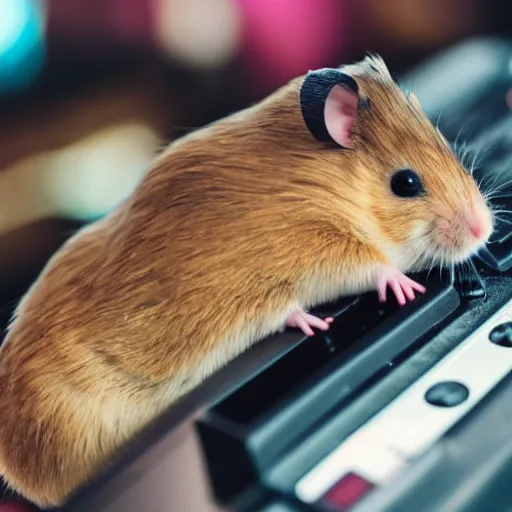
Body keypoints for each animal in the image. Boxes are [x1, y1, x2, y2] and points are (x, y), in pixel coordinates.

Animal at [0, 56, 496, 508]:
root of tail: (16, 465)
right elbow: (364, 268)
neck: (325, 189)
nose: (485, 230)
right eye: (406, 182)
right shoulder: (315, 248)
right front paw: (395, 289)